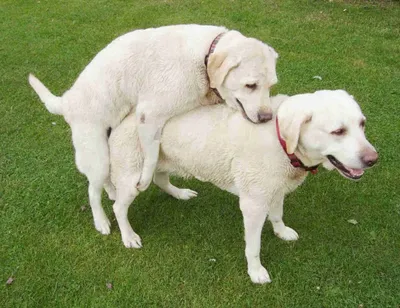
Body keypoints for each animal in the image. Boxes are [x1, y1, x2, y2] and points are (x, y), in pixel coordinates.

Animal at [28, 24, 278, 233]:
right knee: (92, 190)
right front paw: (144, 180)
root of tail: (66, 100)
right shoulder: (148, 115)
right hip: (96, 154)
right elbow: (150, 158)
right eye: (251, 85)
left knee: (105, 181)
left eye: (271, 85)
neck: (204, 57)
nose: (267, 117)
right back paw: (101, 221)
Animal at [108, 89, 376, 284]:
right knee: (119, 208)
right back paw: (129, 236)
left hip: (159, 163)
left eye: (362, 124)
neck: (281, 141)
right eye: (338, 131)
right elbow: (253, 246)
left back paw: (180, 193)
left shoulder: (276, 189)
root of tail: (126, 116)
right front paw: (256, 272)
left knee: (160, 180)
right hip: (133, 177)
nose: (373, 159)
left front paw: (281, 231)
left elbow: (277, 214)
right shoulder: (253, 204)